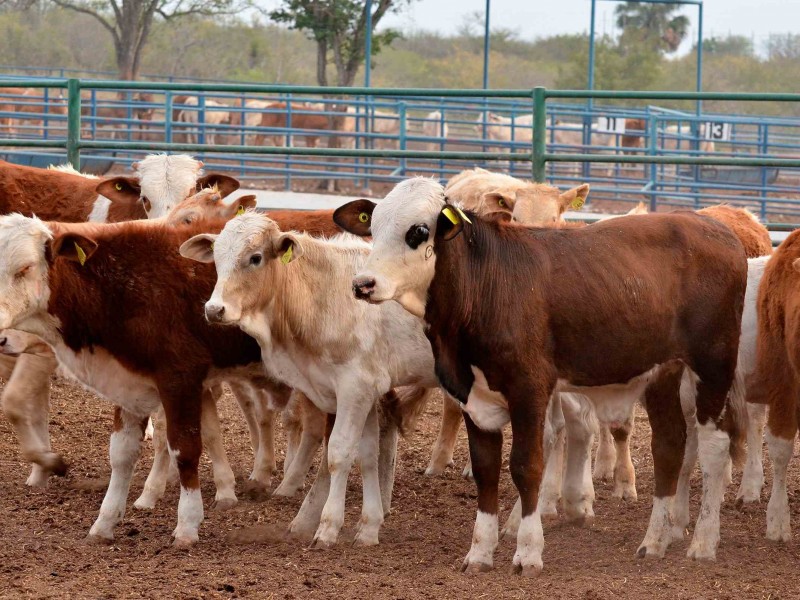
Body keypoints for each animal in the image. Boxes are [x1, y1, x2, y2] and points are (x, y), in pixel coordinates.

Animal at [338, 177, 752, 572]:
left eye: (418, 231)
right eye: (373, 226)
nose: (362, 284)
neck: (486, 284)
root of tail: (717, 228)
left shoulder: (530, 389)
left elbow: (526, 466)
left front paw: (528, 552)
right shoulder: (473, 395)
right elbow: (486, 469)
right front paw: (480, 552)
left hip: (713, 366)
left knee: (715, 449)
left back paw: (703, 542)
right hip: (662, 372)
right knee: (669, 444)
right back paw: (655, 541)